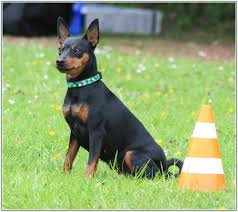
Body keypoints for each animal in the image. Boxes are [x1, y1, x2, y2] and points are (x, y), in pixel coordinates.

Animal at [55, 17, 182, 179]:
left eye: (77, 50)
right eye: (60, 49)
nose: (59, 61)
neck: (80, 88)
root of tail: (165, 167)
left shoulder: (96, 132)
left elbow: (92, 160)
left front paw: (87, 178)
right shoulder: (74, 132)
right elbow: (68, 157)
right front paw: (64, 175)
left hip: (131, 154)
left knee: (149, 176)